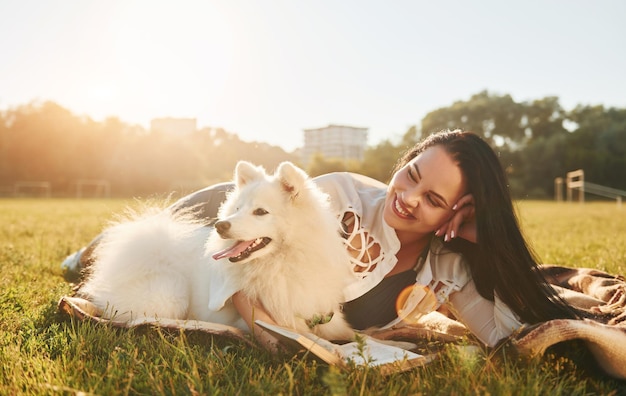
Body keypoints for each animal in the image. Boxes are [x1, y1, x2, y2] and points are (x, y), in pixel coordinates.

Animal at [79, 161, 356, 340]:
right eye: (237, 209)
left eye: (261, 212)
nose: (220, 225)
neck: (280, 264)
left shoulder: (325, 315)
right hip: (169, 292)